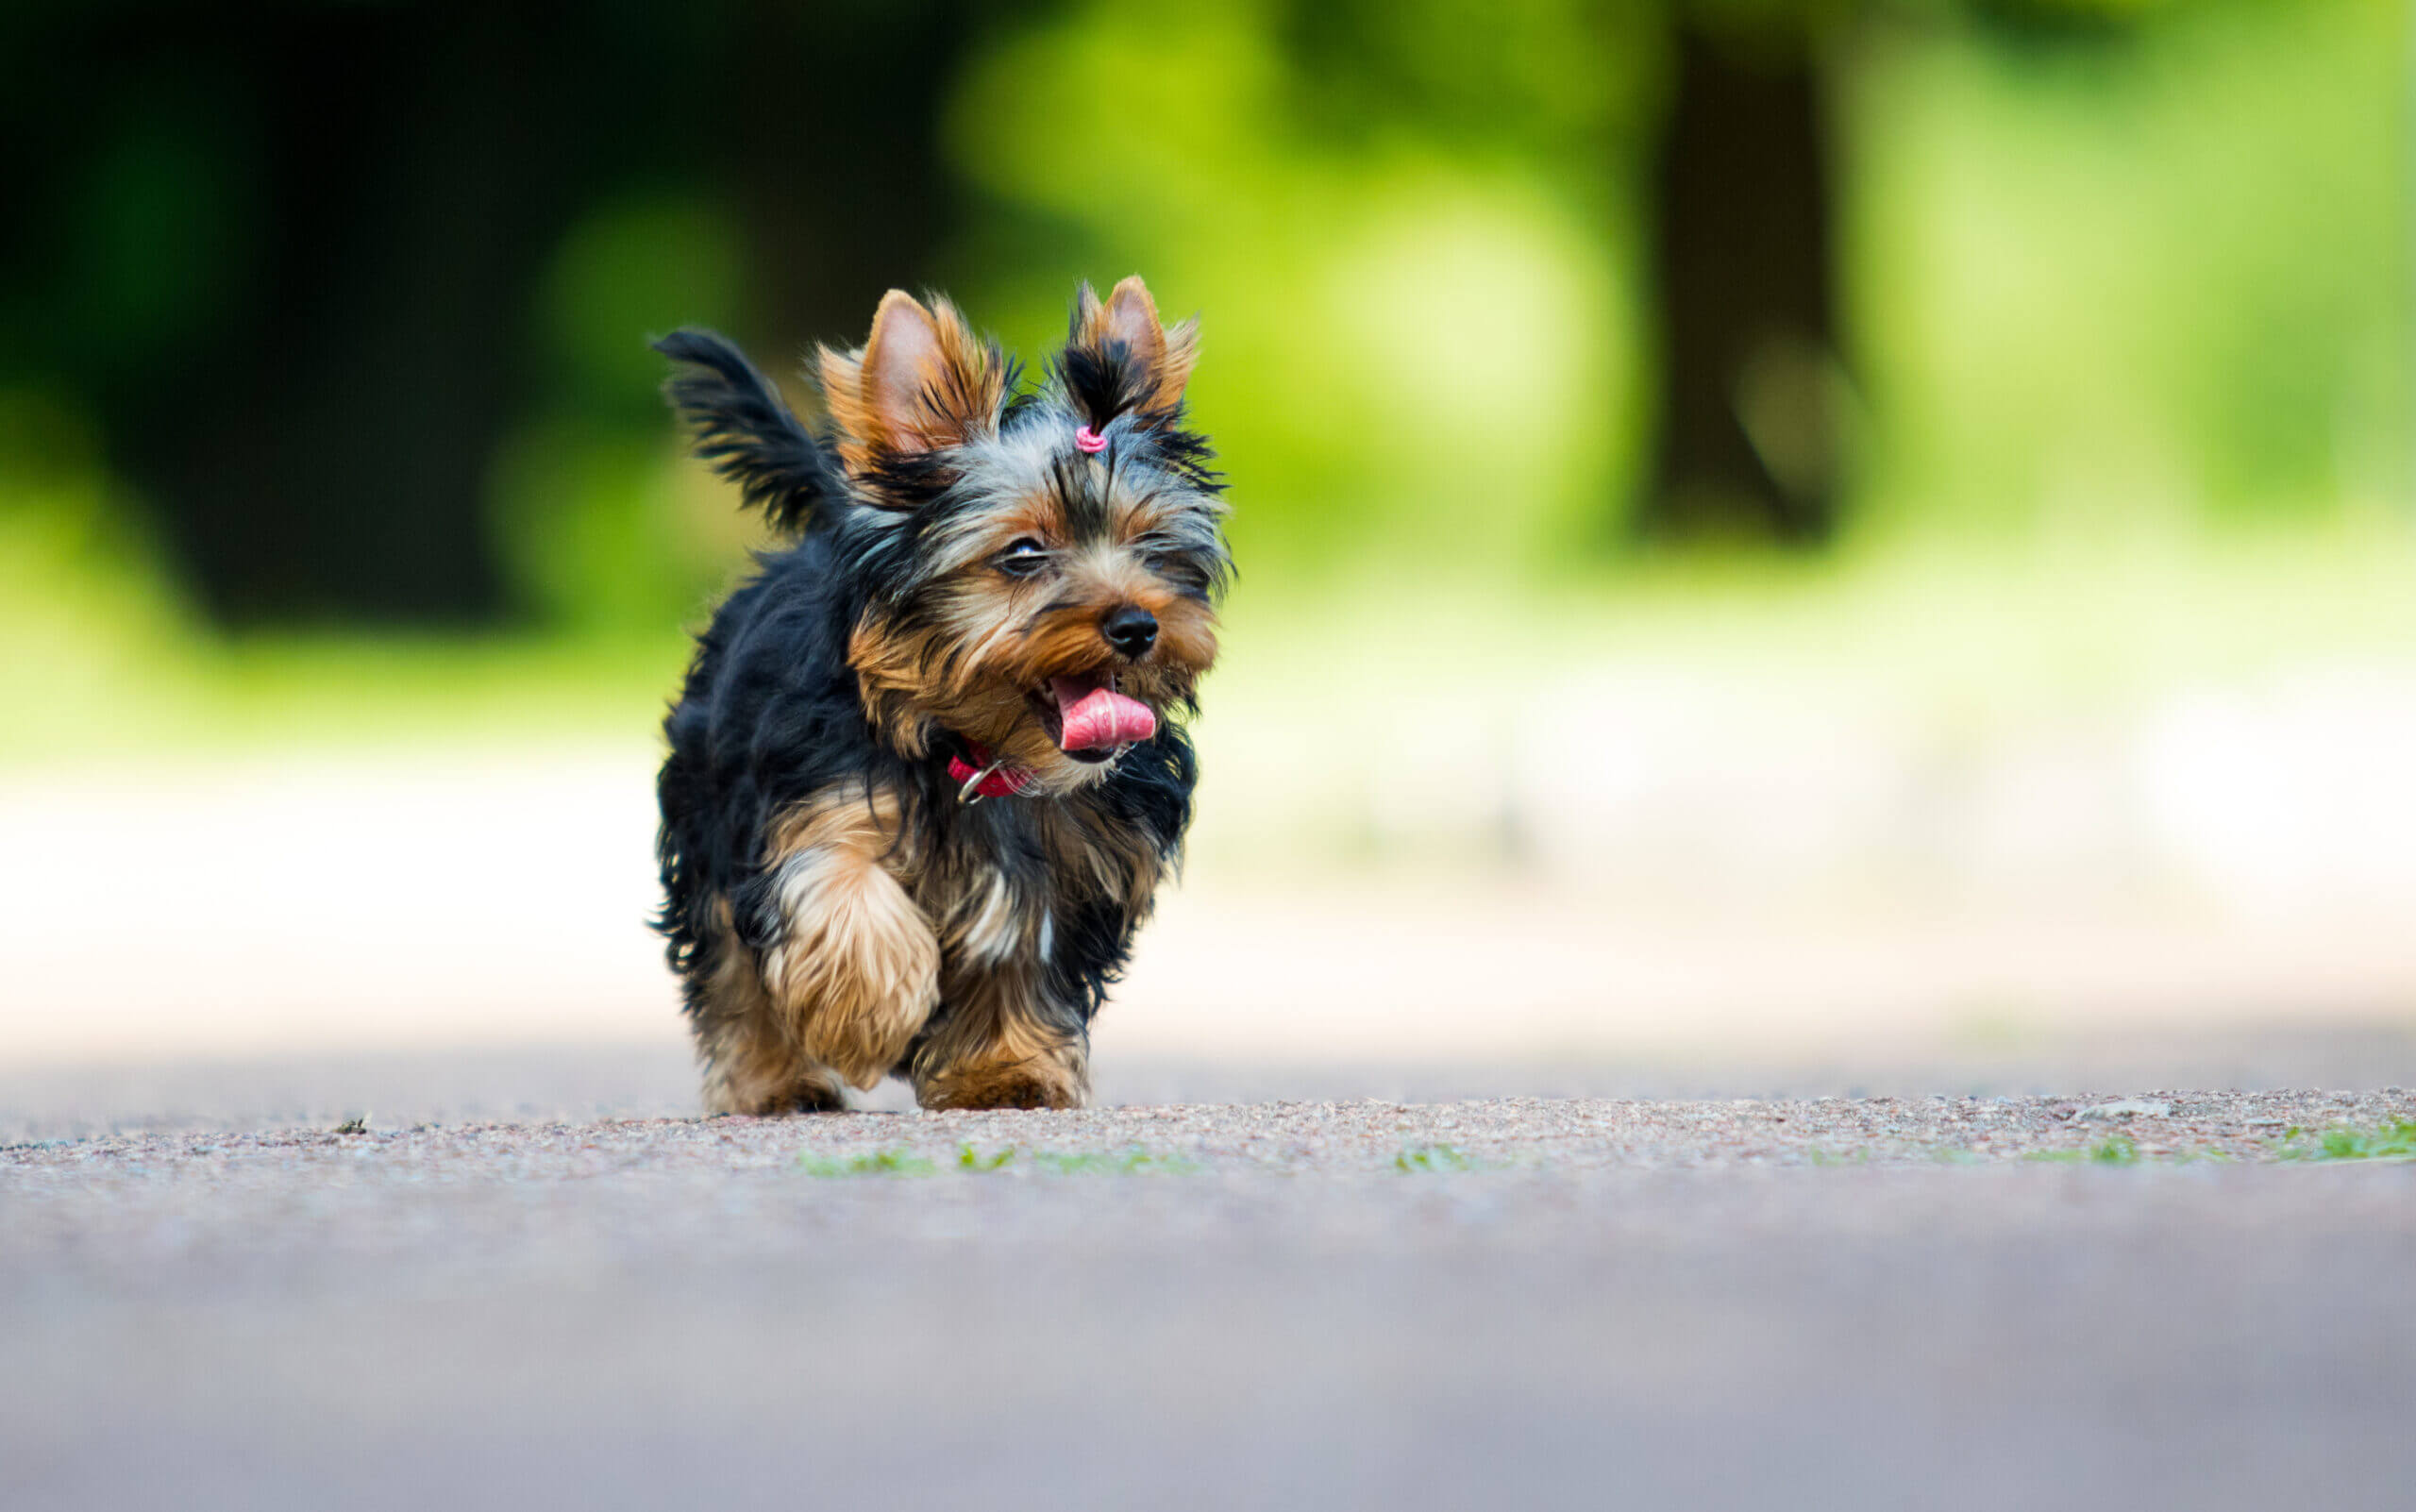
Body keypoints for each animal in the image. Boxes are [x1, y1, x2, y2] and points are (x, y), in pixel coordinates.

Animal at [647, 279, 1227, 1106]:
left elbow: (1024, 958)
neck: (981, 752)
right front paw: (863, 1014)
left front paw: (1005, 1070)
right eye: (1023, 553)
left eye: (1150, 543)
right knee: (727, 956)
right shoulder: (809, 795)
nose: (1138, 625)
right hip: (706, 803)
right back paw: (775, 1082)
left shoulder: (1077, 866)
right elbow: (840, 886)